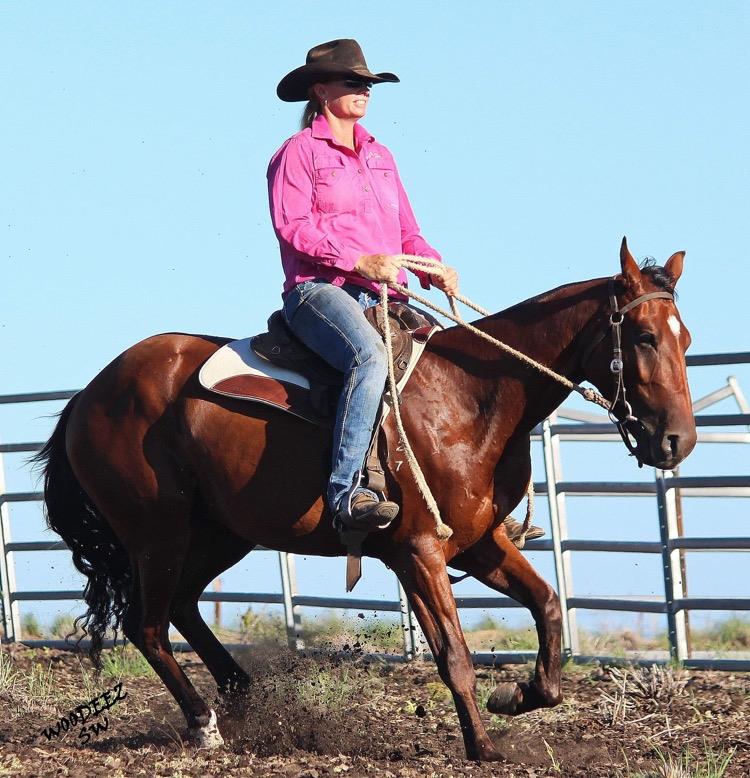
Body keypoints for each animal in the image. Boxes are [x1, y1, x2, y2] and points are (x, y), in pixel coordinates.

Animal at [35, 238, 696, 761]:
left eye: (685, 339)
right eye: (643, 336)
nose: (677, 440)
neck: (472, 396)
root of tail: (90, 394)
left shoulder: (478, 543)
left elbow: (548, 605)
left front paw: (518, 696)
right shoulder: (419, 552)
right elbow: (454, 654)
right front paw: (483, 745)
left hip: (223, 532)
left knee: (181, 607)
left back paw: (245, 695)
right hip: (157, 531)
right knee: (146, 625)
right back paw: (204, 723)